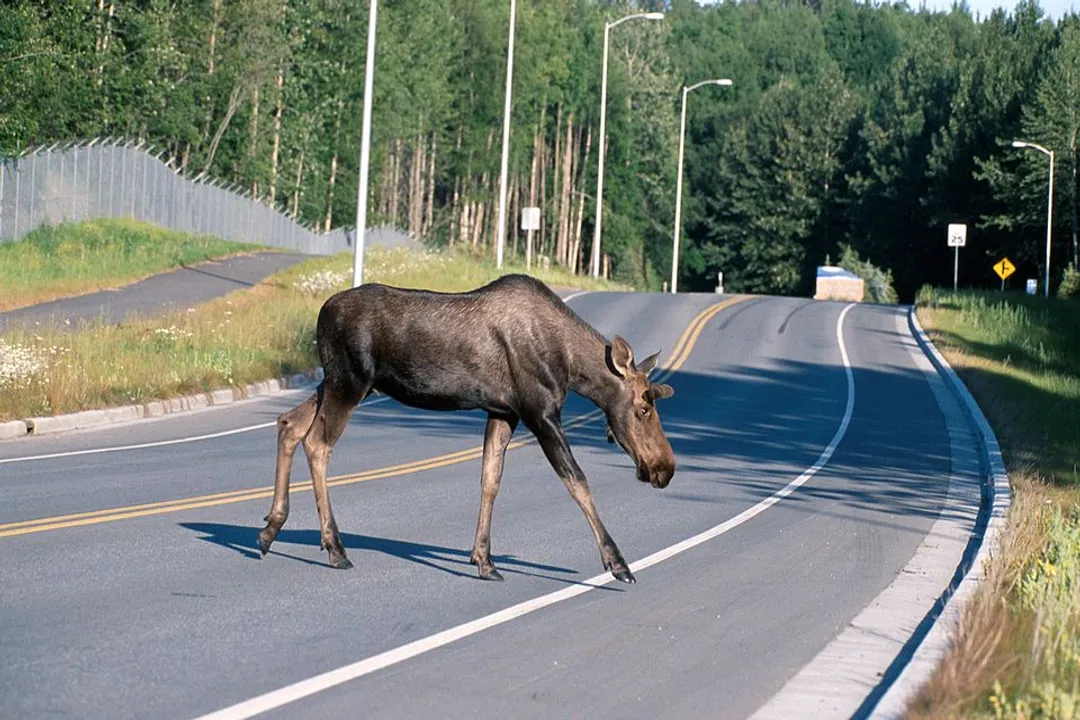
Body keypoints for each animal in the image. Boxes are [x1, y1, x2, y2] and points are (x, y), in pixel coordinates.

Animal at [257, 274, 676, 583]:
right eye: (643, 408)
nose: (665, 469)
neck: (571, 367)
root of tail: (321, 313)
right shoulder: (540, 412)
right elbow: (577, 481)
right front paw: (618, 563)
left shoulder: (504, 412)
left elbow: (490, 480)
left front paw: (484, 560)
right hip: (350, 382)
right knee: (317, 443)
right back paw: (335, 548)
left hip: (335, 382)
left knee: (289, 424)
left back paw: (270, 529)